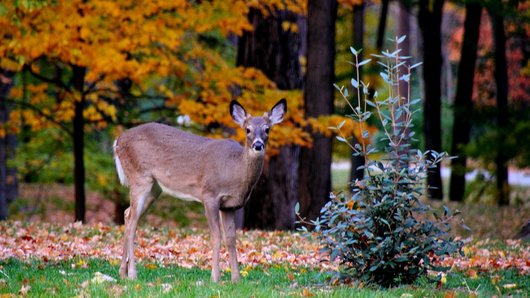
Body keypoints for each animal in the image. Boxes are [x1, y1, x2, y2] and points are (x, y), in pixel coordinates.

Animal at [111, 99, 284, 282]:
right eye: (247, 129)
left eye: (267, 129)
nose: (258, 145)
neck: (234, 169)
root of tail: (118, 141)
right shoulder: (209, 194)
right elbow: (216, 236)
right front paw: (215, 278)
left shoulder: (229, 206)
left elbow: (231, 238)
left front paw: (236, 279)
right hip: (139, 178)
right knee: (132, 222)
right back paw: (132, 274)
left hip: (154, 188)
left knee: (127, 214)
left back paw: (122, 273)